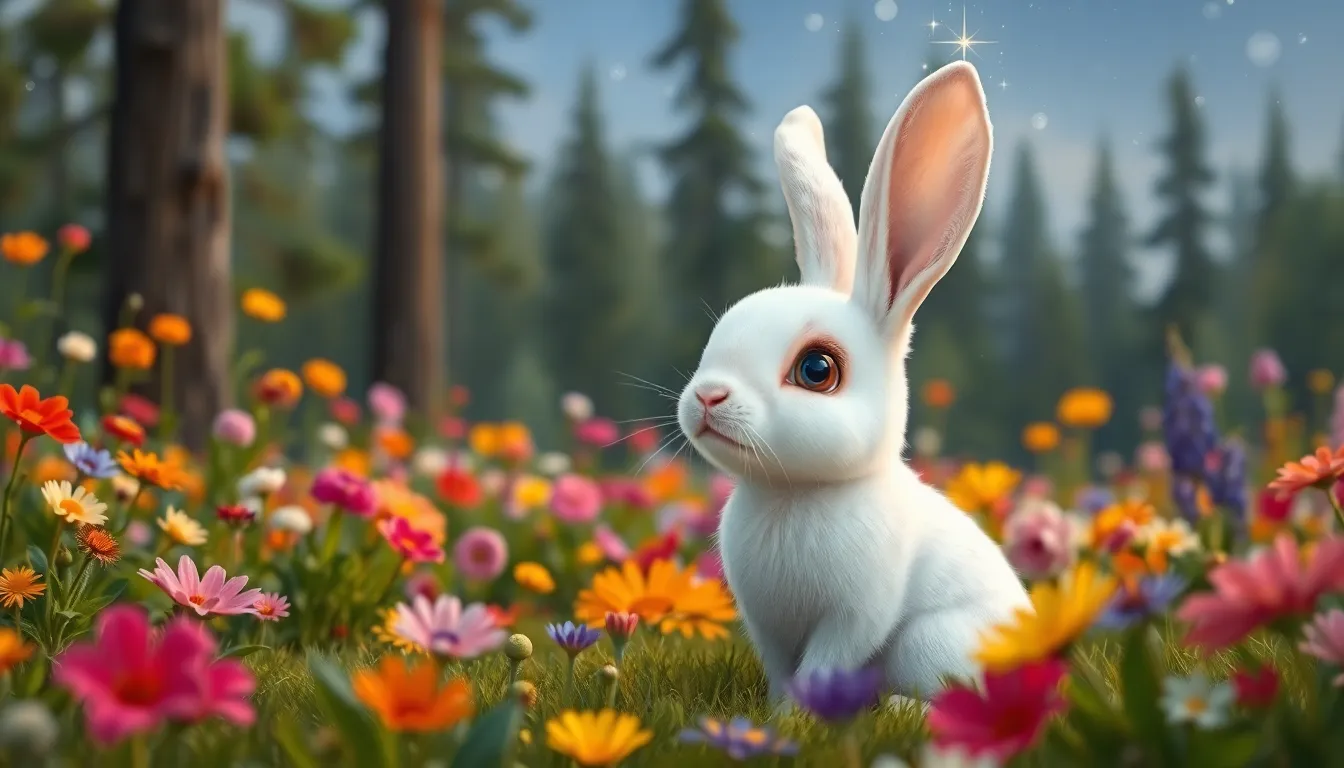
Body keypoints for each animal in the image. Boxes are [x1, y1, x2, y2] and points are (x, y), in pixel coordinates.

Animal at [675, 61, 1030, 703]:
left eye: (817, 370)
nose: (707, 396)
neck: (794, 494)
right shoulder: (766, 627)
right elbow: (780, 670)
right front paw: (775, 712)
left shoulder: (855, 616)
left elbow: (826, 665)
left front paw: (800, 715)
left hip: (930, 642)